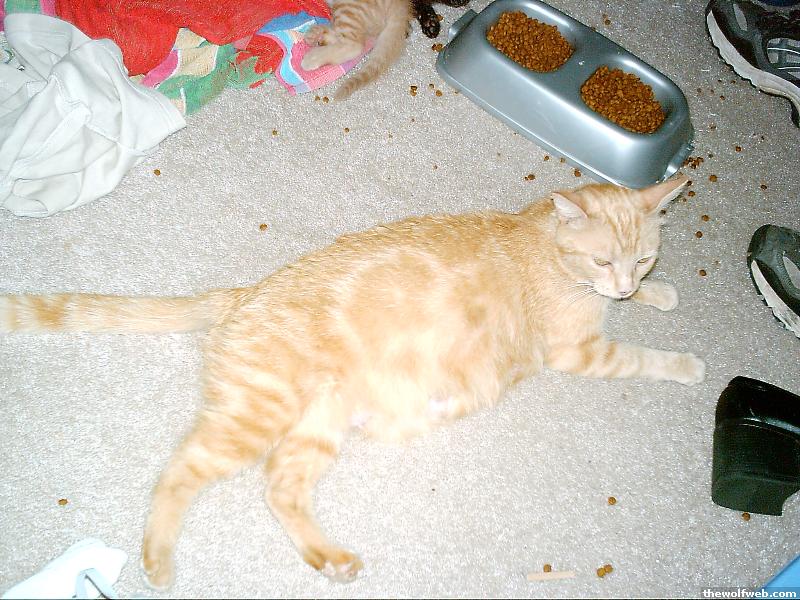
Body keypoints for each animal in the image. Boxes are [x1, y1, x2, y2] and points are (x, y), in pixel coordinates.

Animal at [0, 175, 704, 589]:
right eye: (602, 258)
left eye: (643, 257)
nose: (626, 283)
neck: (541, 246)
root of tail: (244, 294)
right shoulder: (580, 351)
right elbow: (644, 357)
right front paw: (690, 363)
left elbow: (643, 309)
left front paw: (661, 296)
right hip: (252, 421)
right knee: (176, 474)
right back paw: (158, 561)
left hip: (318, 429)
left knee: (279, 490)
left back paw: (329, 559)